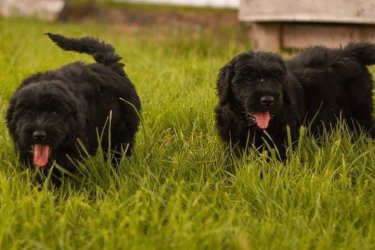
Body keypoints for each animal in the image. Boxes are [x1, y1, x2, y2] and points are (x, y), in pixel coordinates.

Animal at [6, 33, 142, 182]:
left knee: (118, 152)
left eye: (54, 113)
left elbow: (60, 166)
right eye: (26, 113)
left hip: (121, 132)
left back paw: (116, 173)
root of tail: (112, 67)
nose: (39, 135)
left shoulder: (74, 144)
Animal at [216, 42, 375, 159]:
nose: (268, 100)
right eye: (248, 79)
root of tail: (350, 52)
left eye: (276, 78)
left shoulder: (284, 137)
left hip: (358, 113)